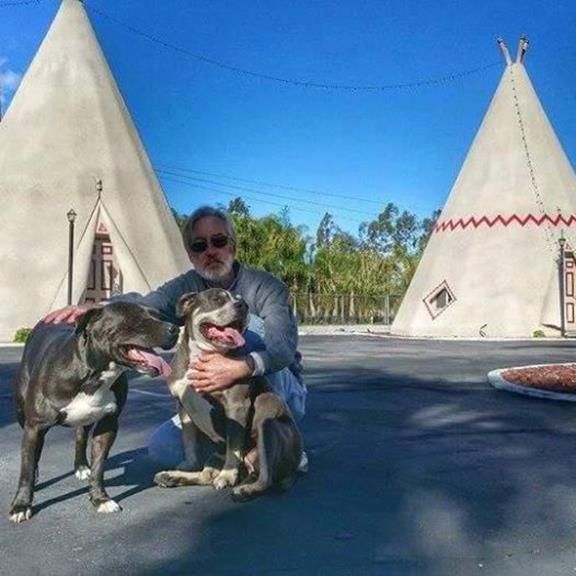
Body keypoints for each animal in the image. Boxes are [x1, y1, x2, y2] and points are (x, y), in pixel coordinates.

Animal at [8, 304, 178, 524]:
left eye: (158, 315)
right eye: (135, 318)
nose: (175, 329)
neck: (93, 374)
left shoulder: (108, 424)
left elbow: (99, 466)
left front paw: (100, 499)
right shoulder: (34, 426)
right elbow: (26, 468)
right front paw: (21, 505)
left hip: (86, 419)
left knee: (80, 438)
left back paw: (81, 467)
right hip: (22, 416)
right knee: (33, 455)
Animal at [153, 290, 306, 502]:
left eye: (242, 301)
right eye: (216, 299)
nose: (242, 306)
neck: (203, 354)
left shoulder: (236, 406)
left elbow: (233, 446)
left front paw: (227, 475)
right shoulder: (183, 406)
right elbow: (189, 441)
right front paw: (189, 464)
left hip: (268, 422)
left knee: (266, 478)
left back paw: (245, 490)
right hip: (217, 454)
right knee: (206, 476)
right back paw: (172, 477)